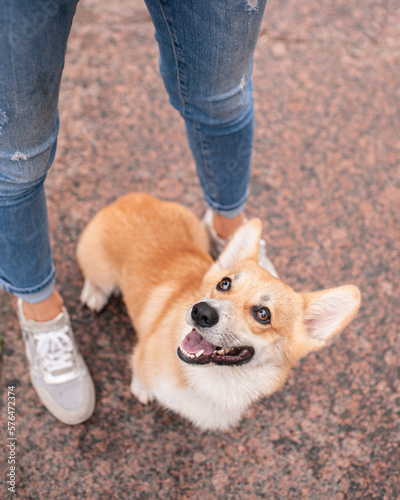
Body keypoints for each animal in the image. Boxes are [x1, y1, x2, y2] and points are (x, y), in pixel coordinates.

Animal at [76, 192, 360, 430]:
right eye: (225, 283)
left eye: (263, 314)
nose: (201, 311)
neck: (219, 380)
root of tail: (132, 197)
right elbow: (139, 372)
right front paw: (142, 389)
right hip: (101, 270)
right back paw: (94, 294)